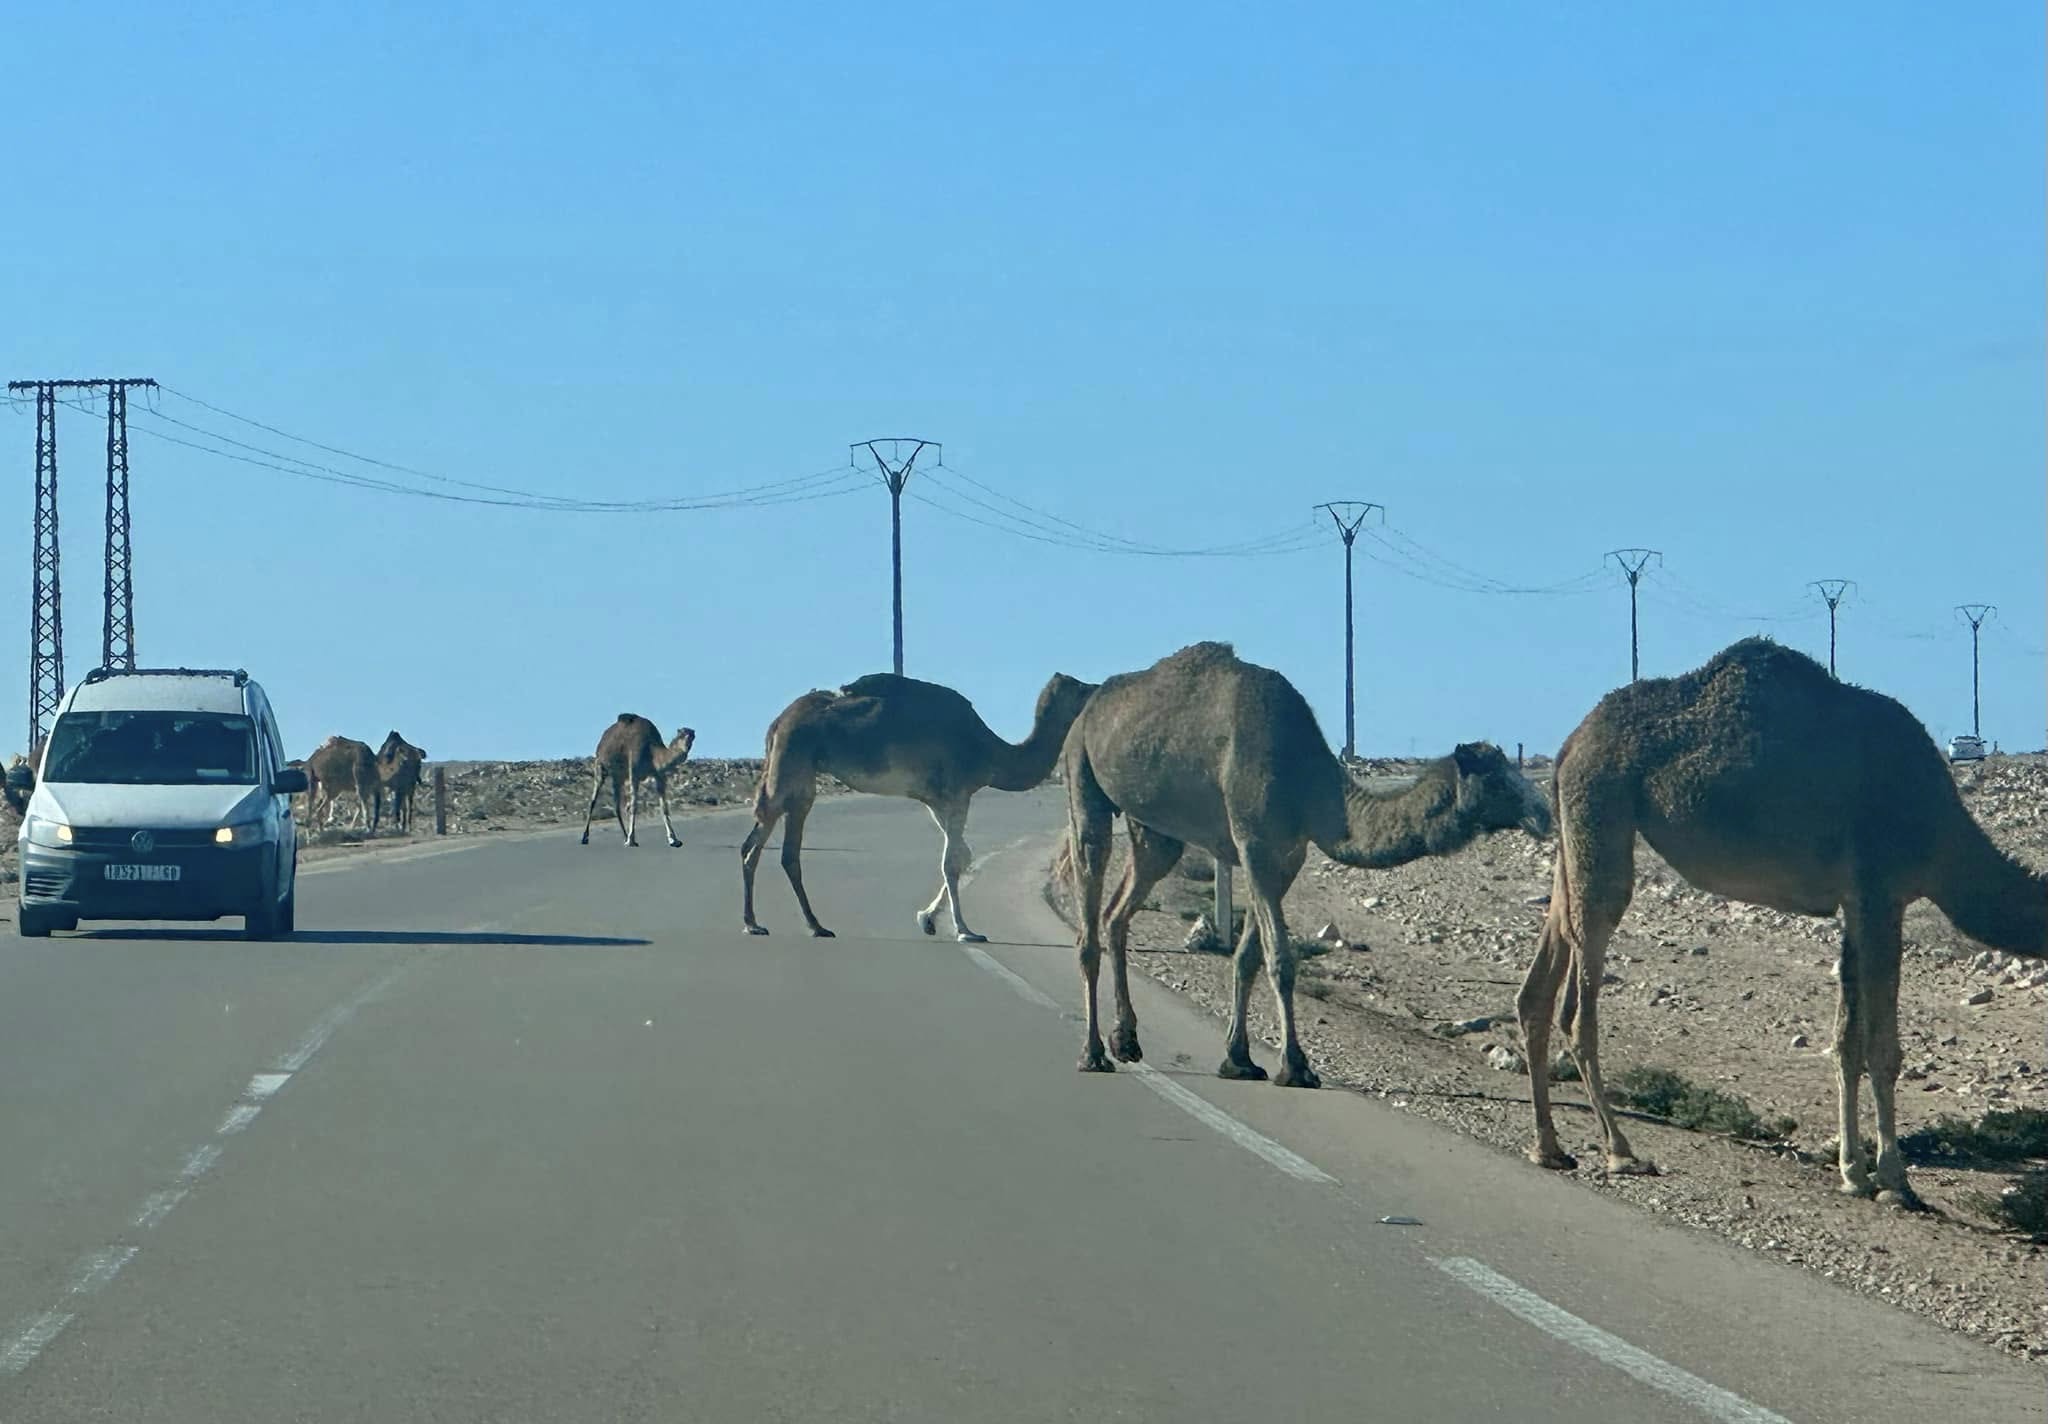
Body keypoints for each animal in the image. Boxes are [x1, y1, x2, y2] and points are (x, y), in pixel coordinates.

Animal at [580, 715, 696, 847]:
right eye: (681, 734)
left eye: (692, 734)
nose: (690, 738)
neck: (652, 753)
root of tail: (602, 739)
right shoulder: (634, 772)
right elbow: (633, 805)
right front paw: (631, 840)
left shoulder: (659, 776)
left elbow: (664, 807)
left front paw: (674, 840)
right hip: (600, 767)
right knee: (593, 801)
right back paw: (585, 837)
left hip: (618, 776)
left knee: (616, 806)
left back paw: (624, 836)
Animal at [740, 670, 1098, 941]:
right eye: (1079, 688)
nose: (1097, 688)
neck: (990, 753)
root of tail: (778, 722)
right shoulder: (957, 792)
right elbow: (951, 861)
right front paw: (965, 930)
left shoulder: (937, 800)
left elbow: (962, 855)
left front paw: (927, 919)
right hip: (792, 763)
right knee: (769, 843)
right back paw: (784, 924)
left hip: (798, 775)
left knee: (770, 845)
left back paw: (781, 923)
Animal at [1061, 641, 1552, 1087]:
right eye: (1497, 781)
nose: (1544, 814)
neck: (1308, 781)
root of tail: (1089, 708)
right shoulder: (1255, 843)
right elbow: (1281, 958)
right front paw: (1295, 1066)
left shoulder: (1286, 856)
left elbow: (1248, 955)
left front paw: (1239, 1060)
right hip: (1081, 771)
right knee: (1089, 902)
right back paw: (1092, 1053)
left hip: (1153, 830)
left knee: (1118, 911)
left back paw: (1126, 1039)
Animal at [1516, 636, 2046, 1207]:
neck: (1944, 834)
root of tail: (1570, 744)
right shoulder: (1882, 893)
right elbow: (1882, 1047)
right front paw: (1895, 1181)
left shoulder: (1855, 904)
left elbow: (1846, 1041)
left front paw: (1853, 1172)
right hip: (1601, 807)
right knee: (1578, 998)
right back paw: (1620, 1150)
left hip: (1574, 832)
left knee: (1539, 980)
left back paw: (1549, 1148)